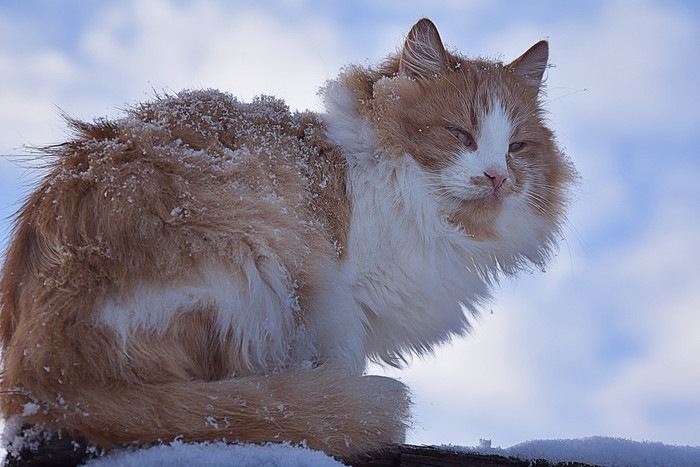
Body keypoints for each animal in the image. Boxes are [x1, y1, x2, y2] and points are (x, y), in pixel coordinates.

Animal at [0, 17, 576, 460]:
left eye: (518, 147)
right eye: (461, 135)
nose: (497, 177)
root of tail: (44, 374)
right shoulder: (340, 297)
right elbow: (343, 357)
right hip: (261, 258)